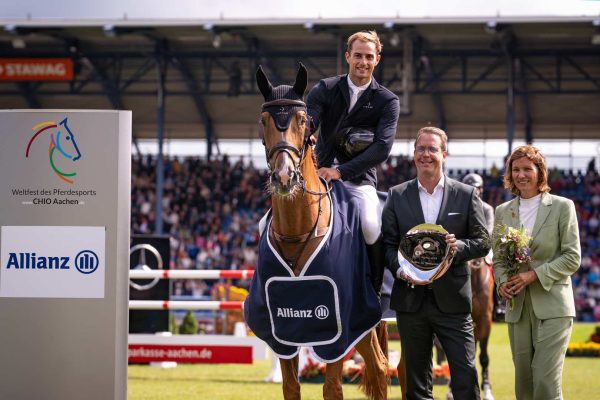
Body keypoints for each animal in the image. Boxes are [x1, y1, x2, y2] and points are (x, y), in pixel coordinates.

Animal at [244, 64, 390, 398]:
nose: (284, 177)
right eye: (263, 121)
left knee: (381, 368)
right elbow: (290, 386)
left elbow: (332, 388)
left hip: (366, 320)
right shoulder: (283, 328)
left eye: (302, 120)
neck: (297, 229)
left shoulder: (339, 327)